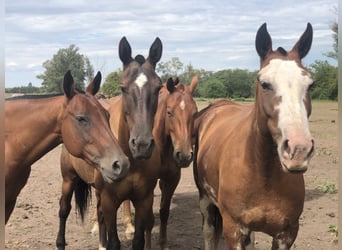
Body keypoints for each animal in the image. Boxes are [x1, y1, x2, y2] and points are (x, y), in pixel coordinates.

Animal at [55, 37, 163, 250]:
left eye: (158, 88)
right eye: (123, 88)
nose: (142, 145)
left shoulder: (143, 199)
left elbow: (138, 241)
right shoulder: (109, 200)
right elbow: (114, 241)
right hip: (69, 179)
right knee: (64, 210)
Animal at [192, 22, 316, 249]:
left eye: (311, 85)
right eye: (265, 84)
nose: (298, 150)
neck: (262, 172)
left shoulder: (287, 233)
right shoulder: (234, 230)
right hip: (205, 201)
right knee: (209, 233)